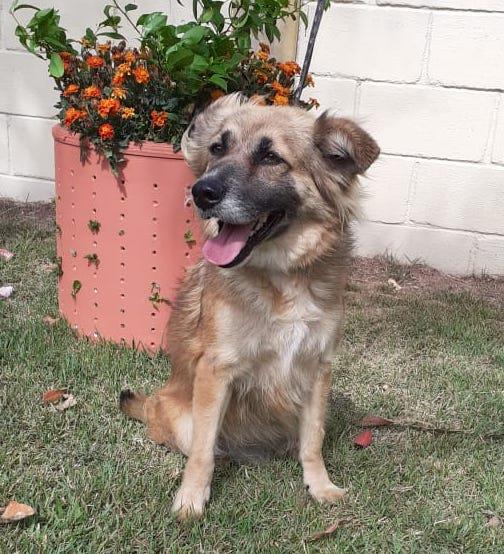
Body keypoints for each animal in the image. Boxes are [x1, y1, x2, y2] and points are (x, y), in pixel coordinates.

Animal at [120, 94, 380, 519]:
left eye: (271, 157)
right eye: (217, 149)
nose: (201, 192)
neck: (283, 278)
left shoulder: (317, 366)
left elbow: (313, 440)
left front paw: (319, 485)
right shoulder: (216, 369)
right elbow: (202, 451)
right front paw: (191, 498)